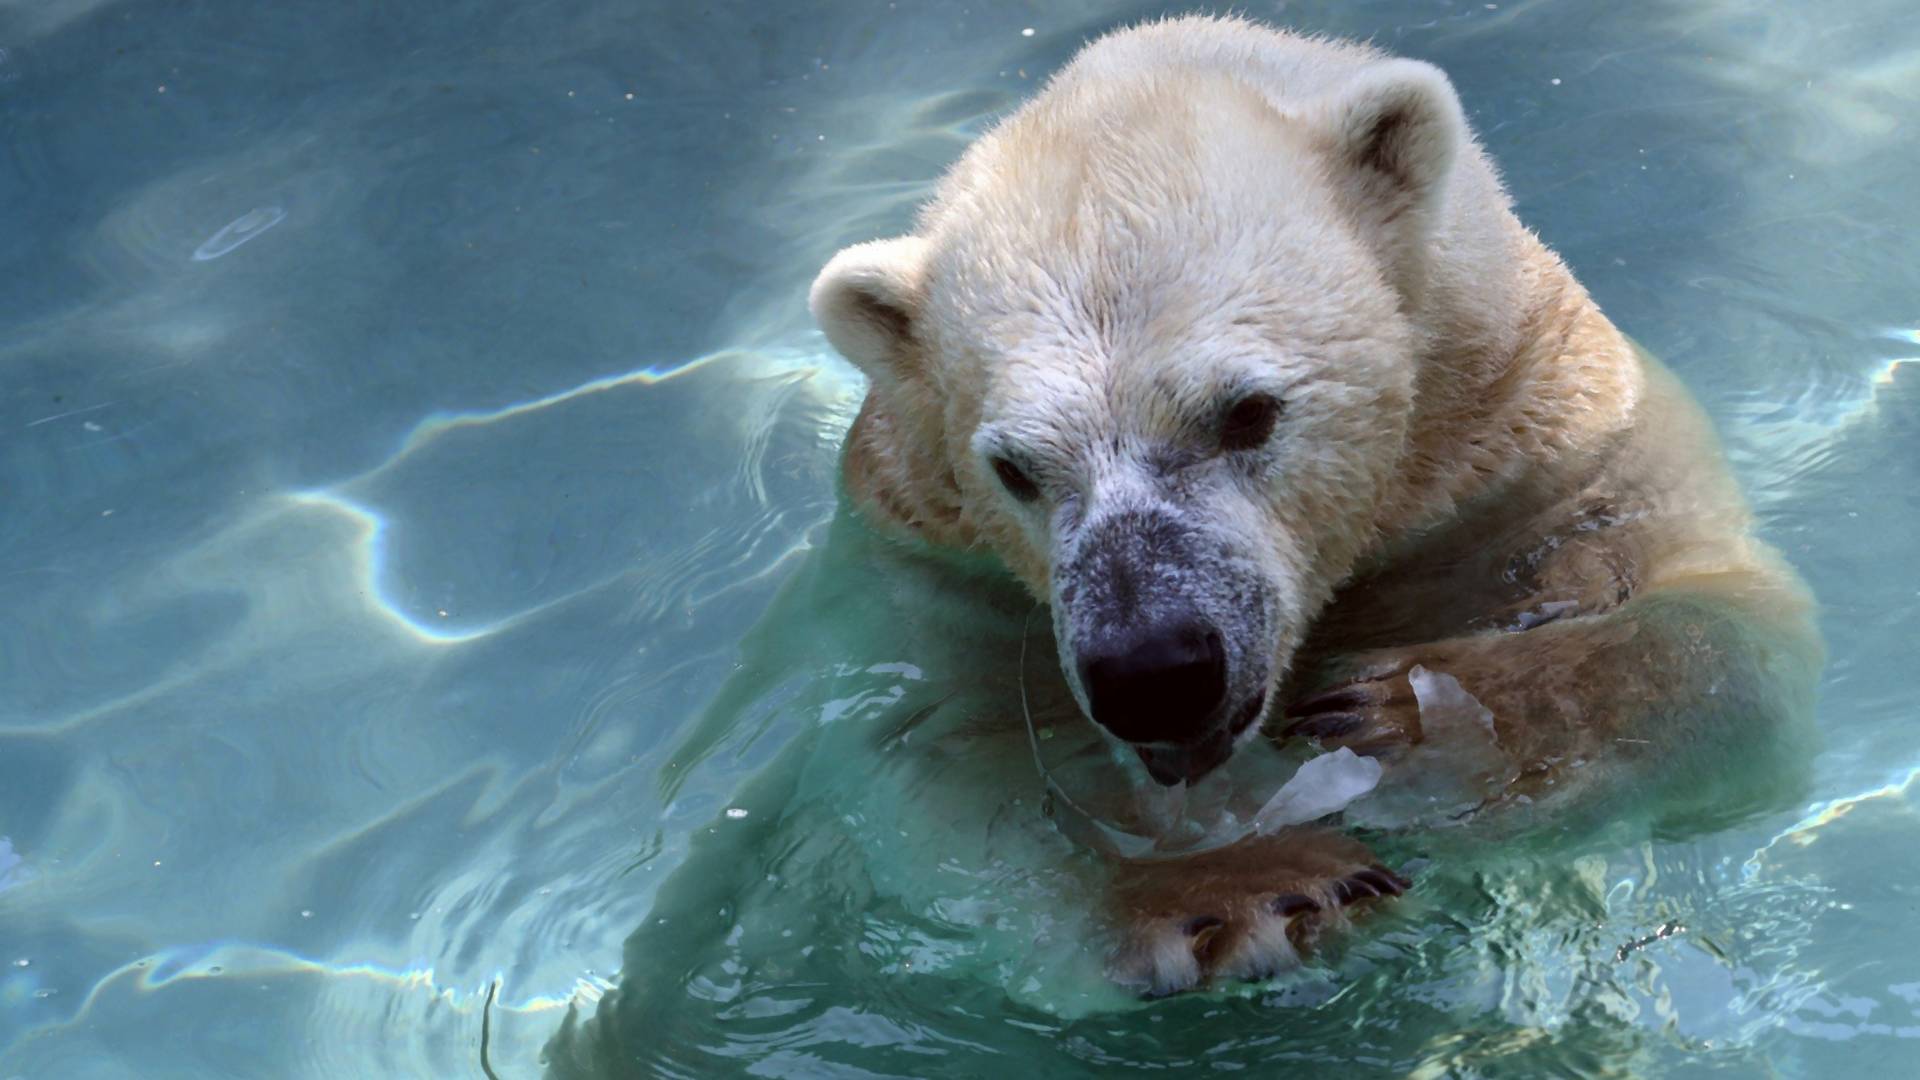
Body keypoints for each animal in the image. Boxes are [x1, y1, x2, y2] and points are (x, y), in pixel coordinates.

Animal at [806, 16, 1812, 991]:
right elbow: (933, 766)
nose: (1152, 674)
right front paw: (1242, 891)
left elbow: (1735, 638)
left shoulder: (1551, 440)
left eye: (1249, 411)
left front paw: (1406, 716)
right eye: (1014, 469)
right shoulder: (930, 560)